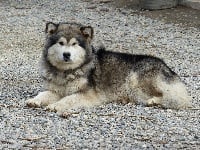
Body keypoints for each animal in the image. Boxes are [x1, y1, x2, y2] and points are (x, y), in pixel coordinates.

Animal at [25, 22, 191, 116]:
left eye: (74, 44)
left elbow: (68, 99)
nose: (67, 54)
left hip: (138, 80)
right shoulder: (55, 90)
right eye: (60, 43)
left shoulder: (88, 94)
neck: (66, 72)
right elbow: (44, 94)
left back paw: (155, 101)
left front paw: (56, 105)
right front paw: (35, 100)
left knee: (180, 100)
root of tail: (167, 67)